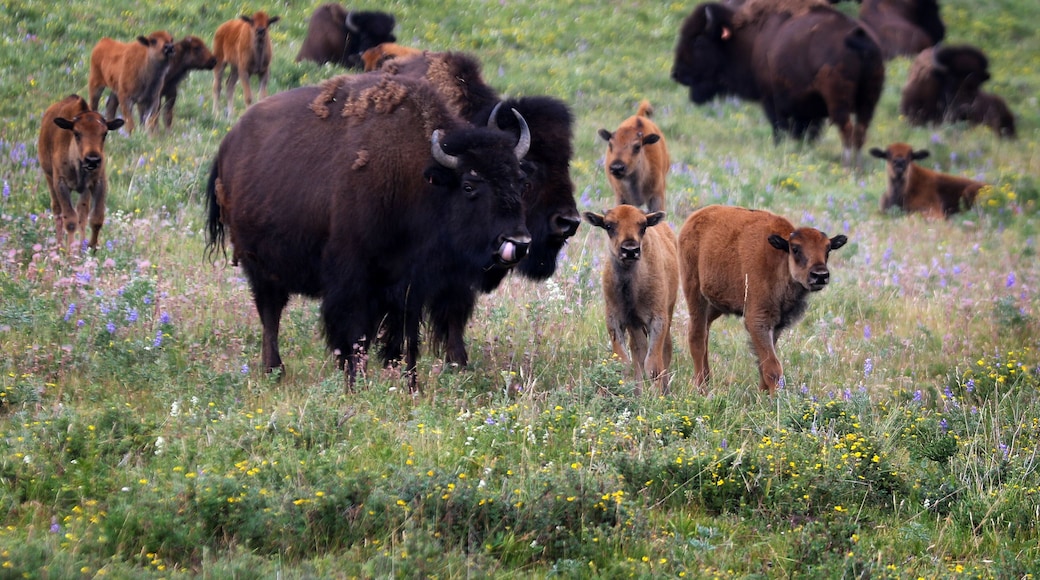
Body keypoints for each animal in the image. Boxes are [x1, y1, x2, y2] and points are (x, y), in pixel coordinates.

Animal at [206, 73, 532, 390]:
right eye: (468, 186)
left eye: (520, 181)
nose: (518, 242)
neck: (419, 180)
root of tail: (227, 146)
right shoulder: (353, 280)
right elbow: (354, 335)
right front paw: (355, 383)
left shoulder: (409, 288)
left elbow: (406, 339)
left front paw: (410, 385)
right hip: (259, 267)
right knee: (270, 314)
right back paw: (275, 370)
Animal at [671, 0, 885, 167]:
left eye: (698, 41)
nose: (676, 74)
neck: (751, 36)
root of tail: (859, 39)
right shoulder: (808, 112)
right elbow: (804, 132)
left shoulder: (772, 100)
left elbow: (779, 127)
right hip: (868, 102)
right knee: (860, 131)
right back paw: (857, 165)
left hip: (839, 102)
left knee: (847, 129)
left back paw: (847, 164)